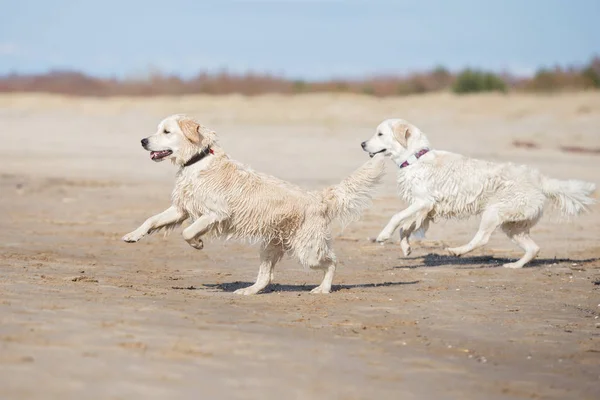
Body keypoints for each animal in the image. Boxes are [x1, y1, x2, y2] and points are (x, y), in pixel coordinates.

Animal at [123, 115, 384, 294]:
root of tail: (318, 198)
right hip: (271, 245)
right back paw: (247, 291)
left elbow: (188, 231)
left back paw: (323, 289)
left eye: (166, 131)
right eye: (158, 129)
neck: (197, 161)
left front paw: (197, 243)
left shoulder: (216, 213)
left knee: (332, 262)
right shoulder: (181, 208)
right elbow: (152, 220)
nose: (143, 140)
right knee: (266, 277)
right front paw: (132, 235)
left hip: (307, 249)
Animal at [360, 119, 596, 268]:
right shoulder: (425, 209)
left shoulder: (423, 202)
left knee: (482, 239)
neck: (415, 158)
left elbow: (396, 217)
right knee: (534, 248)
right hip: (513, 226)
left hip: (493, 212)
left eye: (380, 133)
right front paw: (407, 248)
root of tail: (540, 180)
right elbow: (406, 228)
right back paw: (514, 266)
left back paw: (457, 251)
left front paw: (383, 235)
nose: (362, 143)